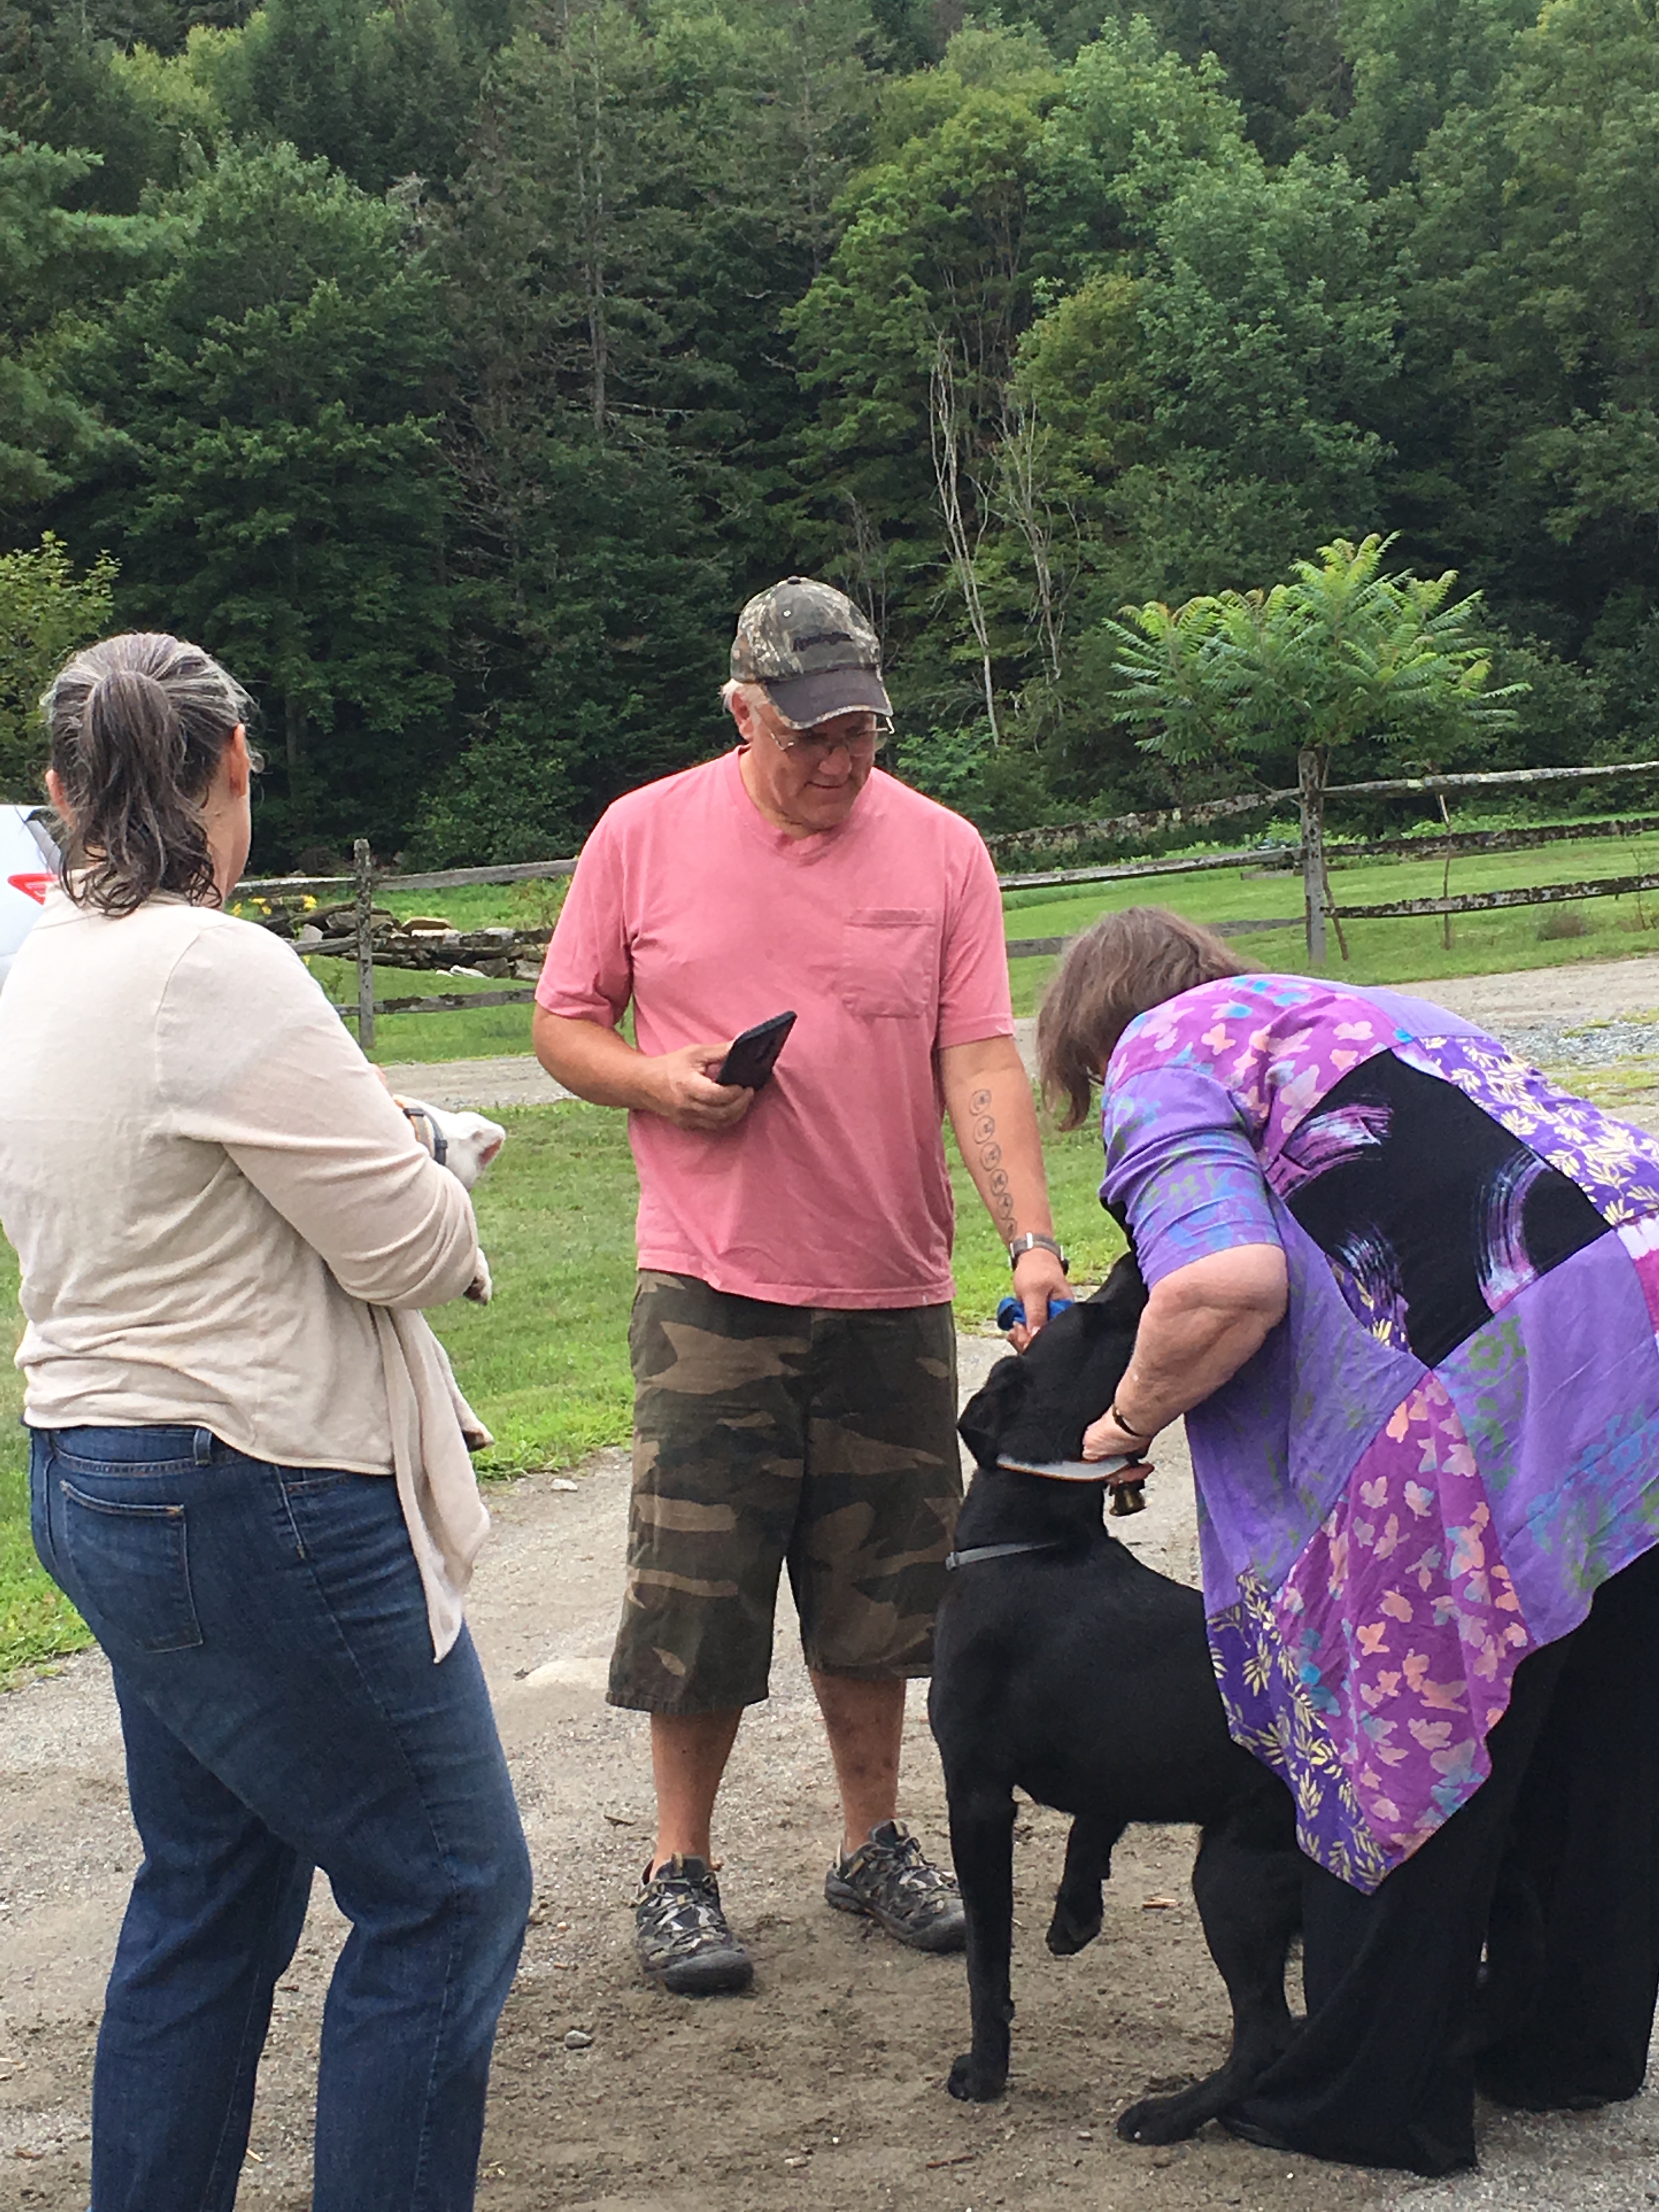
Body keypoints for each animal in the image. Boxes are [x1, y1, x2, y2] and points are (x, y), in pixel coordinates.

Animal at [938, 1265, 1309, 2141]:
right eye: (1100, 1321)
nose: (1131, 1264)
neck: (1036, 1544)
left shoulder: (976, 1794)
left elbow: (986, 1961)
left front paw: (985, 2072)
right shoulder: (1111, 1761)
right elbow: (1092, 1826)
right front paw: (1075, 1916)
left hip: (1234, 1877)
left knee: (1267, 2033)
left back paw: (1169, 2115)